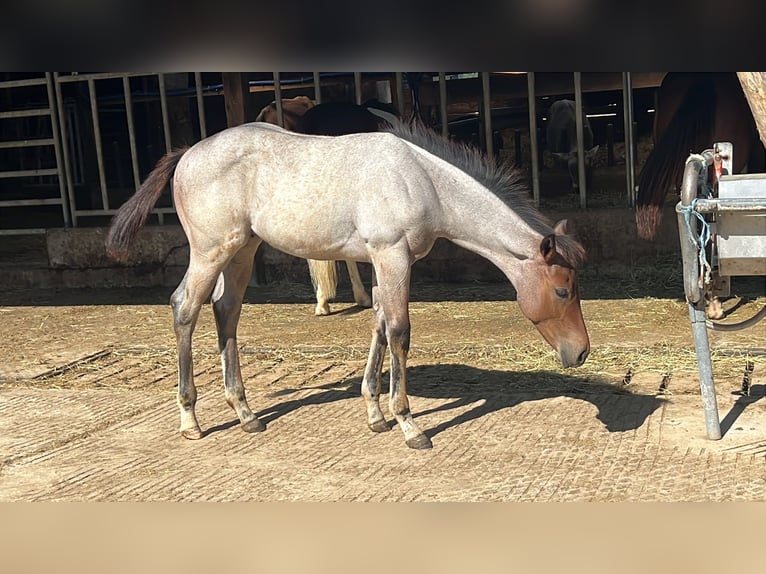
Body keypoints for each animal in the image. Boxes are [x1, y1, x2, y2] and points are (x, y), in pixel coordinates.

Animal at [105, 119, 590, 450]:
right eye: (563, 290)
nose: (581, 352)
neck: (421, 181)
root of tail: (188, 152)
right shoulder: (392, 257)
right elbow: (399, 331)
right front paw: (408, 424)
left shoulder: (381, 261)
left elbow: (379, 325)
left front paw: (375, 415)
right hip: (210, 252)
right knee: (185, 307)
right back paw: (191, 420)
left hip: (241, 251)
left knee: (226, 311)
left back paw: (245, 413)